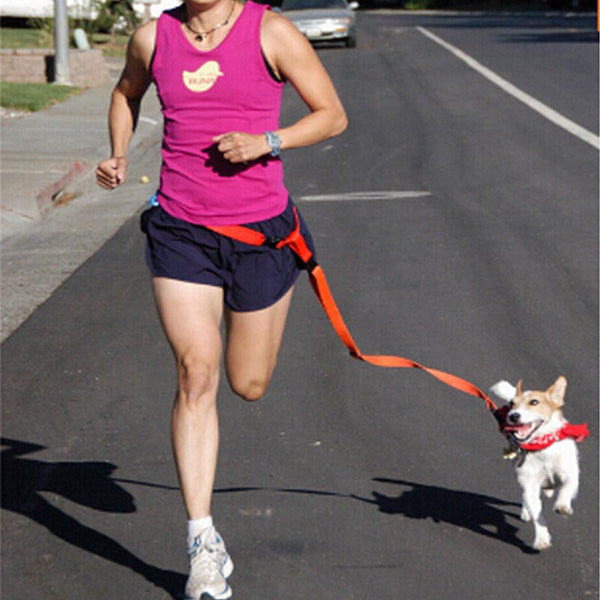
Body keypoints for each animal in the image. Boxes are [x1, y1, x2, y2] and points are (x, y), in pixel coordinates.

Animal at [490, 378, 588, 552]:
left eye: (534, 402)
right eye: (512, 403)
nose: (513, 416)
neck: (542, 447)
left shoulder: (570, 475)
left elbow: (566, 488)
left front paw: (562, 505)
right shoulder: (530, 486)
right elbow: (537, 513)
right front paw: (542, 539)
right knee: (526, 499)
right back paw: (526, 512)